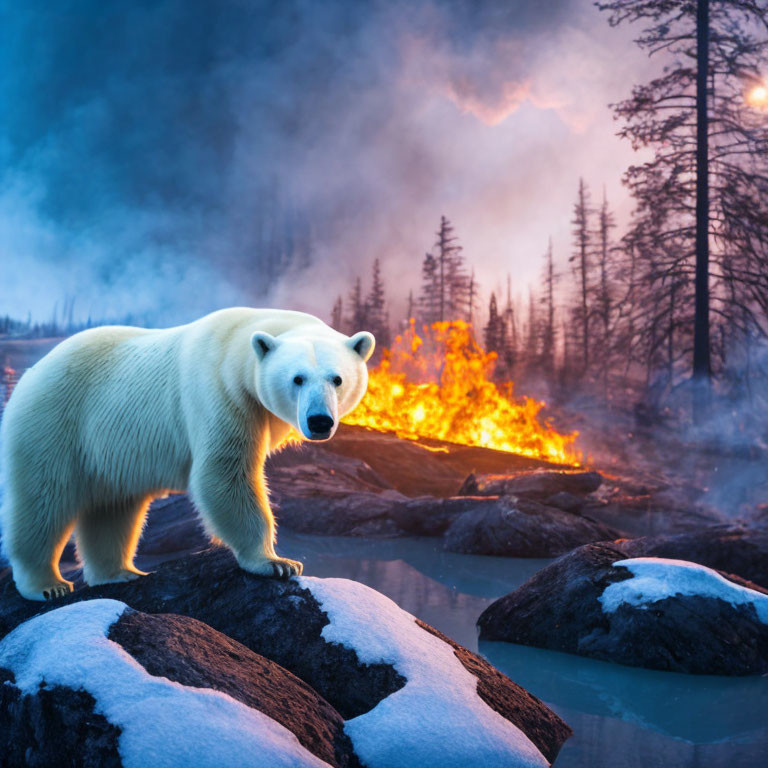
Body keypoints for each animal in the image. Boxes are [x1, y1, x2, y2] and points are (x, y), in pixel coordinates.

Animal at [0, 306, 376, 600]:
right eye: (297, 379)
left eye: (337, 379)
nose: (319, 421)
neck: (239, 345)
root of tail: (32, 371)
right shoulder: (219, 393)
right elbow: (224, 473)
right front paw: (276, 563)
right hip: (55, 421)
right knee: (44, 500)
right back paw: (48, 584)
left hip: (109, 449)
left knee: (113, 507)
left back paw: (119, 572)